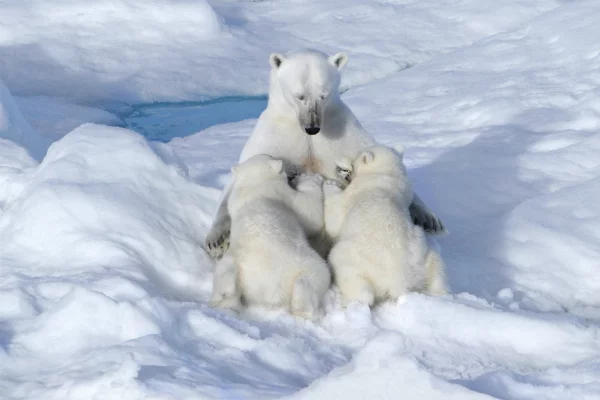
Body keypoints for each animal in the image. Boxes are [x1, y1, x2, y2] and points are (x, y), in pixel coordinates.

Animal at [206, 48, 446, 260]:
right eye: (299, 95)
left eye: (324, 94)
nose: (312, 127)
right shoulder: (272, 138)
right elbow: (238, 179)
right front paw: (217, 240)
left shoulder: (345, 131)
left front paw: (428, 219)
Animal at [210, 154, 332, 318]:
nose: (294, 174)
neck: (254, 185)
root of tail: (269, 290)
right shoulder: (283, 194)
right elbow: (311, 214)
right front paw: (312, 178)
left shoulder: (234, 199)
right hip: (306, 262)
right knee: (314, 276)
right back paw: (309, 311)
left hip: (234, 262)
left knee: (226, 277)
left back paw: (224, 303)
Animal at [324, 145, 446, 304]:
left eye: (354, 163)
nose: (347, 175)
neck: (386, 174)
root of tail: (398, 283)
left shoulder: (355, 191)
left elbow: (334, 216)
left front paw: (329, 184)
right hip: (422, 261)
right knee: (436, 266)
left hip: (355, 260)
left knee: (357, 284)